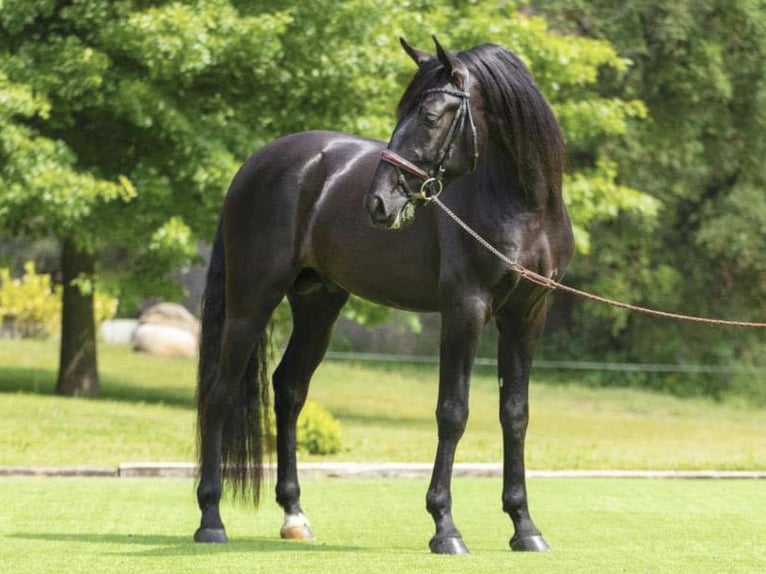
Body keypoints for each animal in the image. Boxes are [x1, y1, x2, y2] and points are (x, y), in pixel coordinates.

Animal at [198, 37, 576, 560]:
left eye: (431, 116)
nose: (379, 202)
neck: (522, 207)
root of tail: (253, 166)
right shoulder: (465, 310)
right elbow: (452, 412)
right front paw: (445, 526)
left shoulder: (528, 315)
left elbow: (515, 414)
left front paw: (524, 526)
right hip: (251, 302)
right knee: (219, 391)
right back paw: (210, 518)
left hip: (318, 306)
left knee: (290, 389)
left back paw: (294, 517)